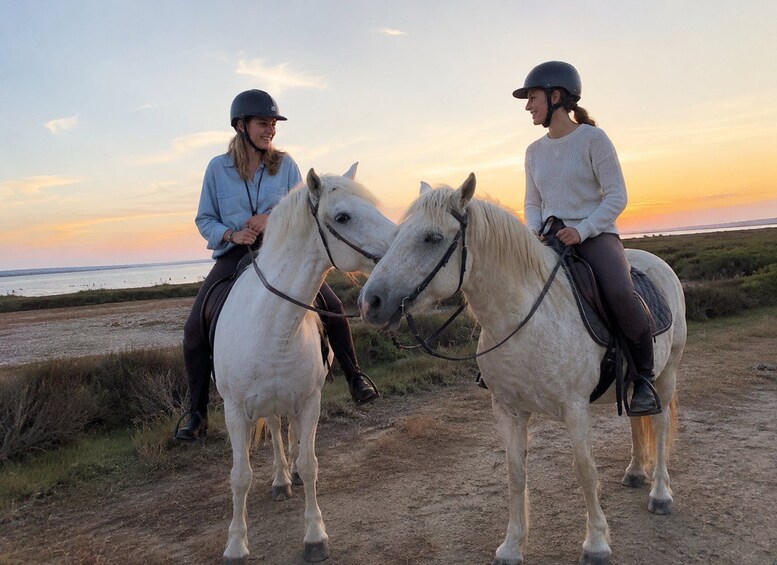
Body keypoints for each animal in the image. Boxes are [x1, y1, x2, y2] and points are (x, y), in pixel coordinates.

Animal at [214, 164, 397, 563]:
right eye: (342, 217)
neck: (272, 325)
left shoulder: (310, 401)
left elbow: (310, 464)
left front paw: (315, 536)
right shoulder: (235, 411)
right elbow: (239, 476)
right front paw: (235, 544)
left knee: (292, 436)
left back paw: (290, 477)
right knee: (276, 433)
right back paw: (281, 480)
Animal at [358, 173, 686, 565]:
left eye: (432, 238)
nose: (370, 303)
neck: (524, 319)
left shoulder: (575, 409)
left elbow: (585, 471)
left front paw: (596, 543)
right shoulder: (508, 410)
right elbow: (515, 475)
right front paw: (512, 546)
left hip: (665, 375)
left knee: (660, 425)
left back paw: (660, 494)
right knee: (638, 421)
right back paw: (636, 472)